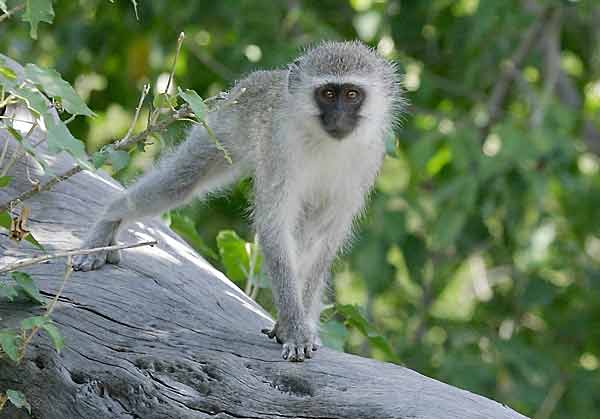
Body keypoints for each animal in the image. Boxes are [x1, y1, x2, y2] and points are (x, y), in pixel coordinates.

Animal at [74, 41, 404, 362]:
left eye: (351, 95)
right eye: (327, 94)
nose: (338, 118)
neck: (327, 143)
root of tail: (259, 78)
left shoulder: (367, 161)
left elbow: (324, 239)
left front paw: (297, 324)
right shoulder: (278, 148)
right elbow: (274, 228)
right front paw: (295, 329)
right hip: (222, 128)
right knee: (181, 182)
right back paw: (109, 220)